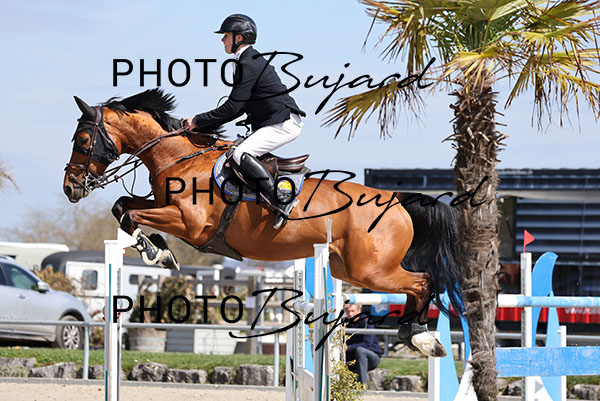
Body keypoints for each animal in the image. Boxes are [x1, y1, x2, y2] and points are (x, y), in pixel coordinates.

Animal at [63, 88, 463, 357]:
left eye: (82, 138)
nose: (70, 187)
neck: (180, 158)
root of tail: (395, 200)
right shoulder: (163, 206)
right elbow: (122, 206)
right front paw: (159, 250)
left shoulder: (189, 224)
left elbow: (131, 214)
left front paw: (156, 253)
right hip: (347, 268)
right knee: (417, 284)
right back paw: (417, 336)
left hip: (371, 271)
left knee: (422, 282)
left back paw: (420, 336)